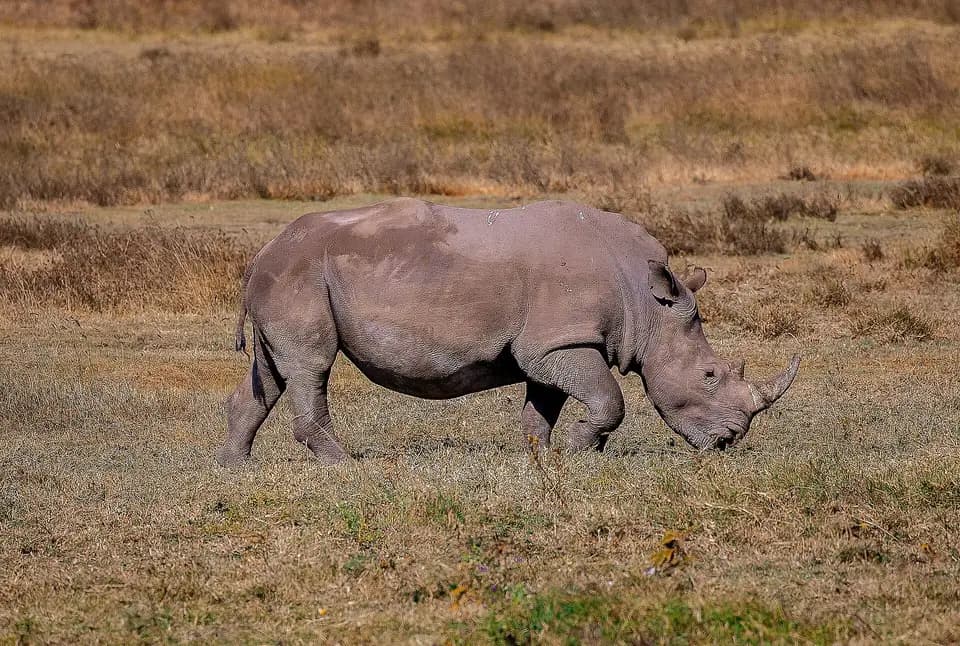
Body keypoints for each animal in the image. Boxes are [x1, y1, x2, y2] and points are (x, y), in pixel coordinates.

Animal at [217, 198, 799, 466]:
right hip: (301, 275)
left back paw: (236, 468)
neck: (647, 303)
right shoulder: (562, 338)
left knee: (272, 372)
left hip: (291, 277)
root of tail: (262, 252)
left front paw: (545, 456)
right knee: (311, 366)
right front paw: (583, 450)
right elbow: (610, 399)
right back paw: (346, 466)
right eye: (708, 375)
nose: (729, 441)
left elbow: (541, 407)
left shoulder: (553, 343)